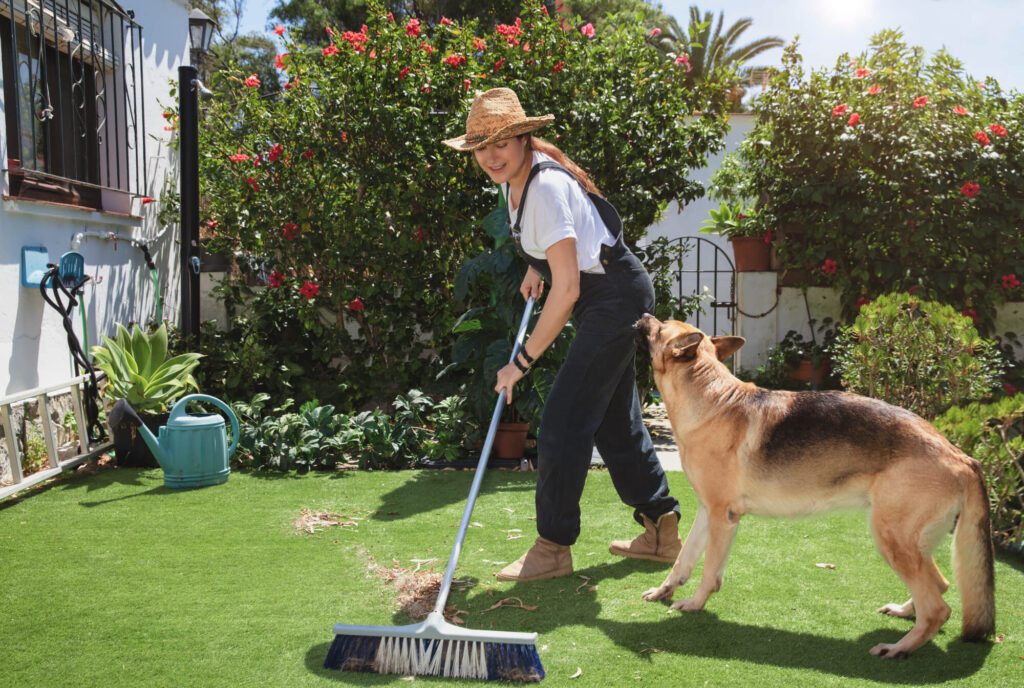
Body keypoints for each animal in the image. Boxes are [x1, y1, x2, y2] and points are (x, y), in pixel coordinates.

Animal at [634, 315, 995, 659]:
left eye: (661, 327)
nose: (644, 314)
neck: (711, 398)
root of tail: (962, 457)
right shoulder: (709, 513)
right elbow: (684, 559)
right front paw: (666, 590)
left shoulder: (722, 518)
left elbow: (709, 570)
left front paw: (695, 605)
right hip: (911, 543)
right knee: (940, 585)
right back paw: (906, 614)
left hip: (892, 540)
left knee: (937, 609)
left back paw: (898, 648)